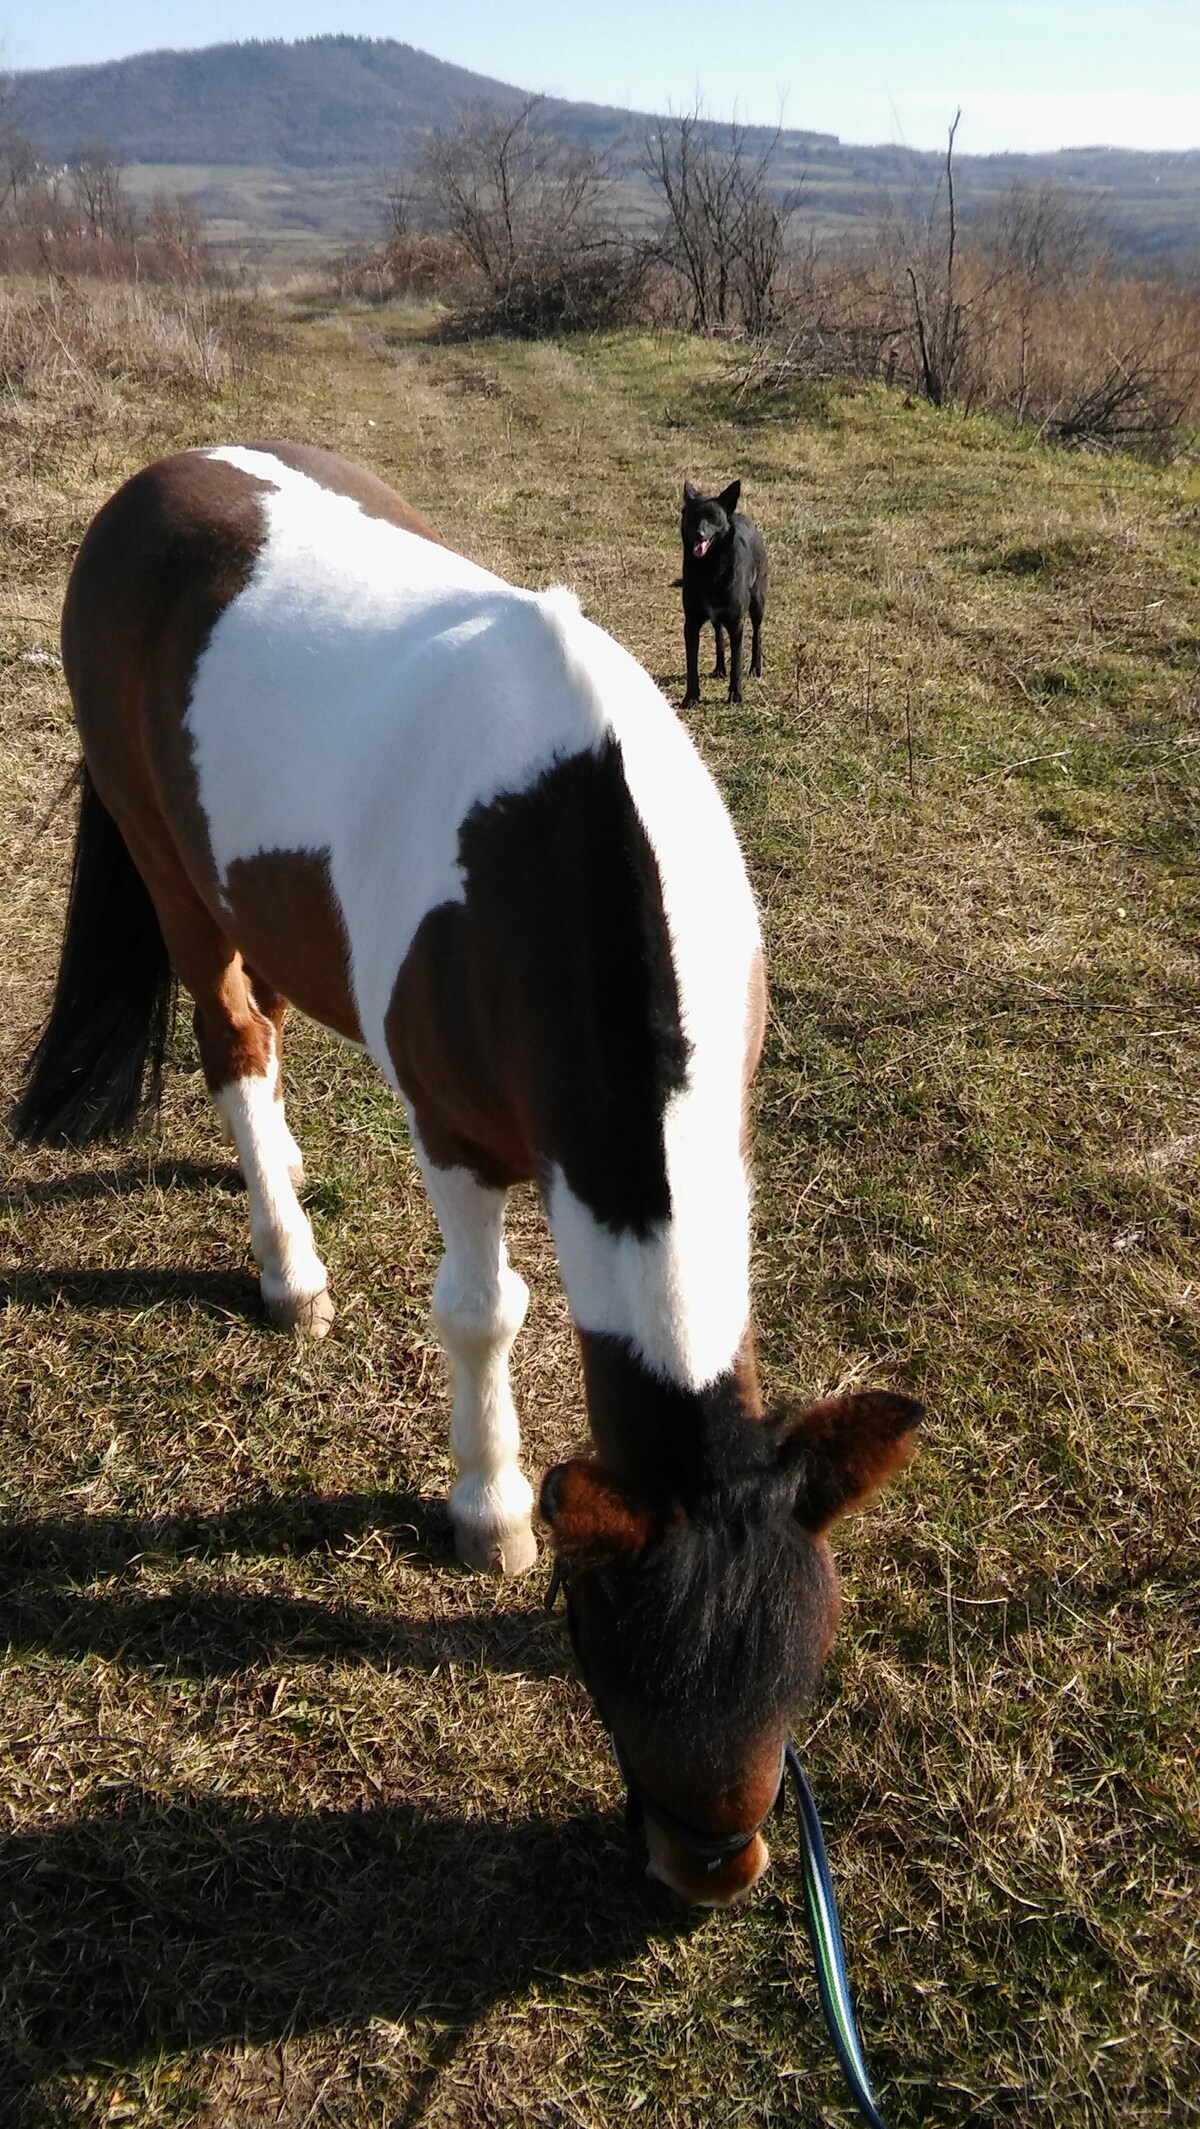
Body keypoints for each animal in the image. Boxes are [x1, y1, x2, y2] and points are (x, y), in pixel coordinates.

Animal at [676, 481, 770, 706]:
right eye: (693, 517)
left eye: (712, 518)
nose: (700, 534)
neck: (709, 568)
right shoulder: (691, 624)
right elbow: (691, 664)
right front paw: (691, 697)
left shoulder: (737, 624)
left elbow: (737, 664)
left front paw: (735, 695)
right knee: (718, 634)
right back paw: (719, 668)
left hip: (757, 602)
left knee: (757, 633)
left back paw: (756, 667)